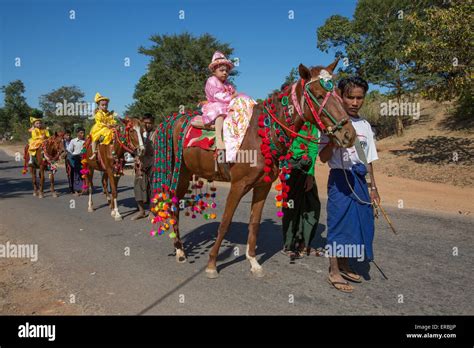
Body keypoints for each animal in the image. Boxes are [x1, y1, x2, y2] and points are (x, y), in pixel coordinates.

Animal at [152, 59, 356, 278]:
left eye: (338, 95)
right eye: (318, 96)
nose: (348, 134)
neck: (261, 135)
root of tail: (173, 120)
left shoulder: (262, 186)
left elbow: (255, 223)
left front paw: (253, 262)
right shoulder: (238, 185)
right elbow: (225, 222)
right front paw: (212, 263)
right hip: (179, 173)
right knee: (173, 204)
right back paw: (180, 251)